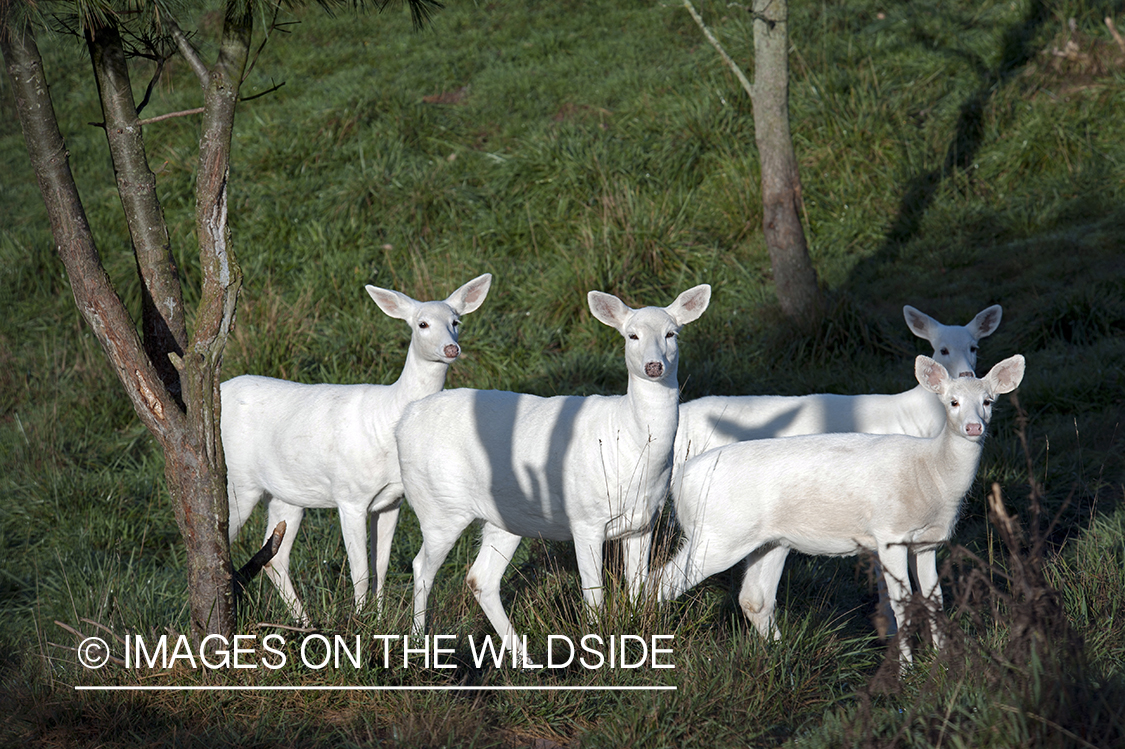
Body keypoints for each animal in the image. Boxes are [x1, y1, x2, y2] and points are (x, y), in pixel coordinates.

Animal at [223, 271, 492, 620]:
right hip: (238, 480)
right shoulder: (349, 496)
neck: (389, 417)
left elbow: (381, 566)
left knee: (275, 557)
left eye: (456, 321)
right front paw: (359, 619)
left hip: (287, 492)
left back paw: (304, 622)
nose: (451, 348)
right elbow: (360, 570)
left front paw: (376, 619)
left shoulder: (392, 500)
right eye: (422, 323)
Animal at [400, 283, 706, 656]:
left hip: (505, 517)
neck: (630, 442)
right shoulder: (585, 518)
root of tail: (406, 419)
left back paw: (522, 657)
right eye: (631, 335)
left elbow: (638, 588)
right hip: (439, 506)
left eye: (671, 333)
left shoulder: (643, 522)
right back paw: (418, 642)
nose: (653, 366)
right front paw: (596, 645)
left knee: (480, 578)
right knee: (422, 567)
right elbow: (594, 595)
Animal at [657, 353, 1026, 661]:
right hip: (717, 534)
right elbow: (902, 604)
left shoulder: (927, 542)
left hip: (769, 540)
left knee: (754, 598)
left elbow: (935, 601)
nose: (974, 427)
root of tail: (682, 480)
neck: (931, 473)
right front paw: (906, 672)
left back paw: (782, 653)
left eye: (988, 401)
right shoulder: (889, 533)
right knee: (660, 581)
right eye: (953, 401)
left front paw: (942, 663)